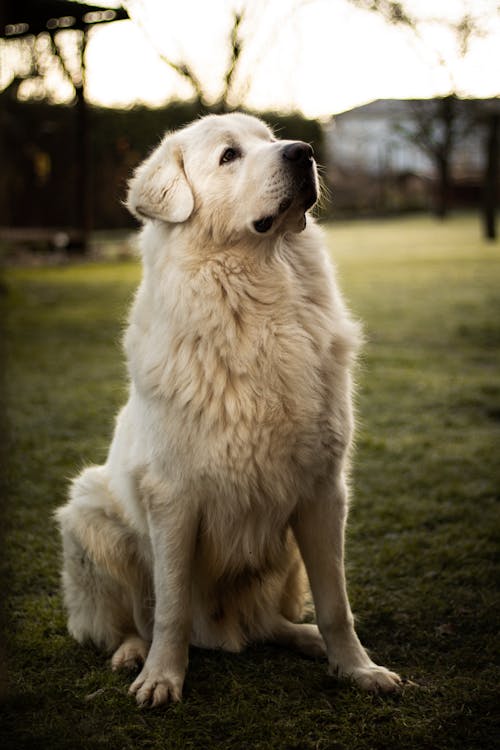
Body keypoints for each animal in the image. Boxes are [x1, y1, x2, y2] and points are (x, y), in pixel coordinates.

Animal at [55, 111, 402, 704]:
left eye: (271, 139)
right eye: (229, 156)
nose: (303, 151)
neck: (259, 304)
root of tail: (221, 631)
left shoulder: (323, 491)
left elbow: (336, 604)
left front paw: (358, 669)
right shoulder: (173, 498)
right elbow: (170, 608)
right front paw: (162, 678)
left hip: (284, 558)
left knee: (266, 623)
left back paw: (304, 638)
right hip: (89, 515)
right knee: (129, 621)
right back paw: (131, 654)